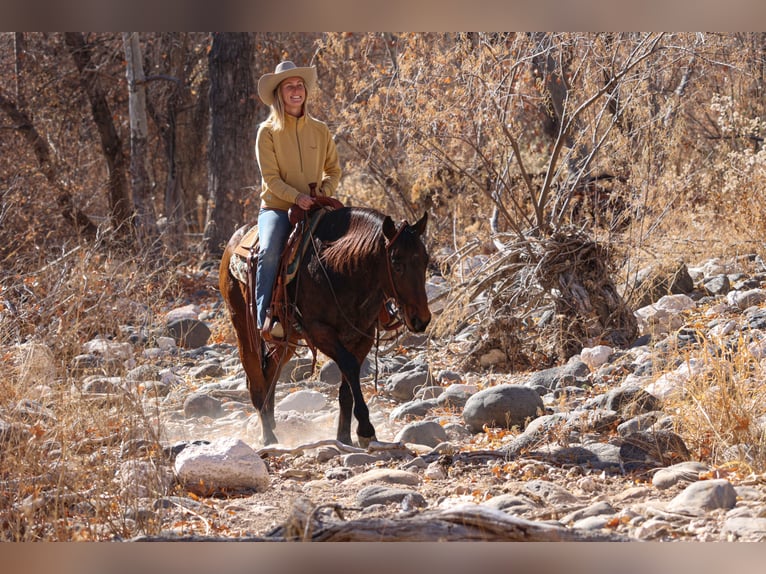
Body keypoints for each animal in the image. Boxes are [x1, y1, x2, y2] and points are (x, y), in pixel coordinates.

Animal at [219, 207, 432, 450]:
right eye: (397, 264)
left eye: (425, 260)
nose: (421, 319)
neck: (338, 270)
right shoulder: (319, 331)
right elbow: (350, 367)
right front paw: (366, 430)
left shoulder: (363, 335)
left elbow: (347, 383)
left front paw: (345, 437)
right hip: (244, 328)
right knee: (255, 378)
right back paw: (268, 436)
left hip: (286, 339)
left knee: (270, 370)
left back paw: (271, 422)